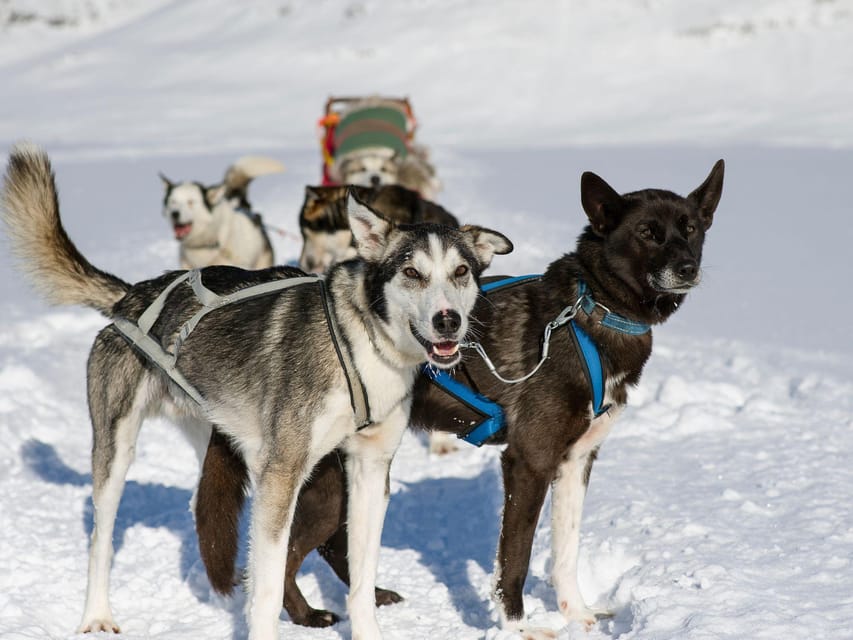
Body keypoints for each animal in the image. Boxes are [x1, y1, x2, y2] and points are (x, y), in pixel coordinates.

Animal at [1, 144, 512, 640]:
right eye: (412, 273)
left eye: (461, 271)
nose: (448, 321)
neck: (359, 341)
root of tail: (130, 297)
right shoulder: (281, 475)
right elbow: (266, 591)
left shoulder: (369, 469)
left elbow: (362, 581)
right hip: (116, 450)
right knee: (100, 538)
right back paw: (96, 616)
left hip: (217, 439)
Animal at [195, 159, 724, 636]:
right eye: (649, 232)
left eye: (691, 229)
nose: (688, 267)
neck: (586, 315)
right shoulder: (529, 461)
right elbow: (515, 560)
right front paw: (517, 628)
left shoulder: (576, 461)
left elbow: (565, 551)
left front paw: (577, 615)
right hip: (321, 483)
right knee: (283, 558)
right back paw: (310, 615)